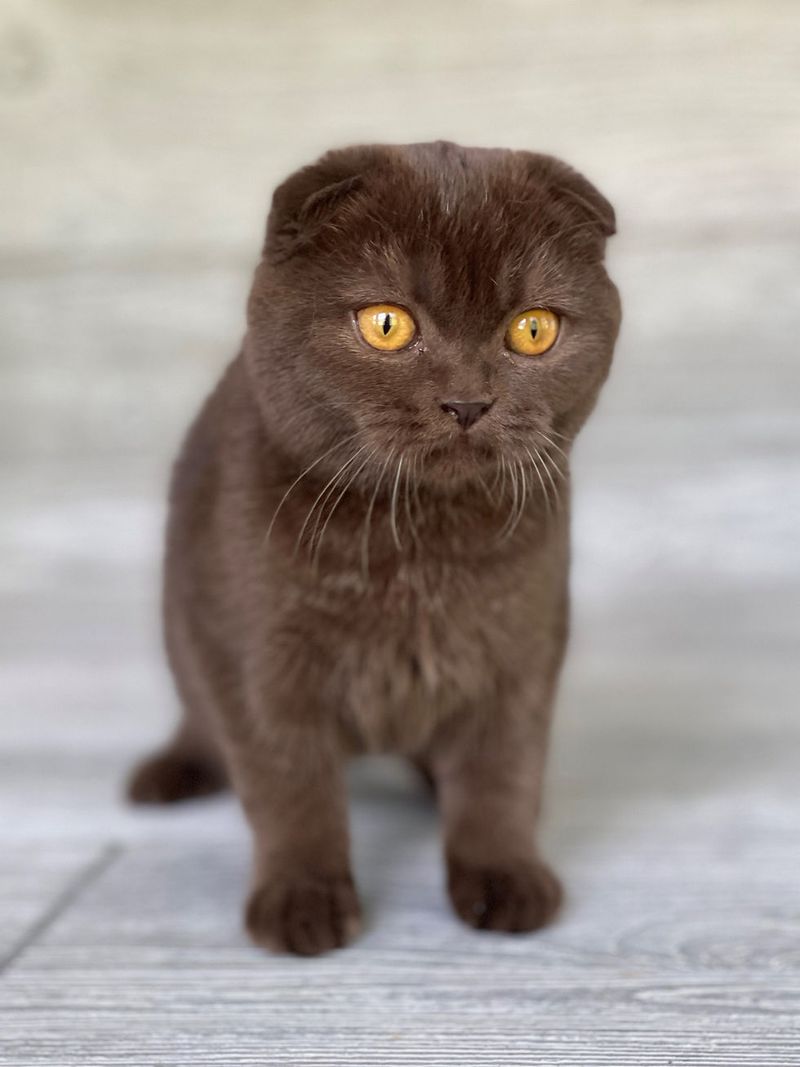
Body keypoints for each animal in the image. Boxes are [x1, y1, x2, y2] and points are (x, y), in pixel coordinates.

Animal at [128, 137, 622, 956]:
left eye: (533, 329)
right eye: (386, 325)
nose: (467, 401)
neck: (415, 543)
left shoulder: (521, 647)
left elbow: (501, 771)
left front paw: (505, 878)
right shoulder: (258, 660)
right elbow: (289, 785)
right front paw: (302, 901)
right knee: (201, 721)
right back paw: (169, 773)